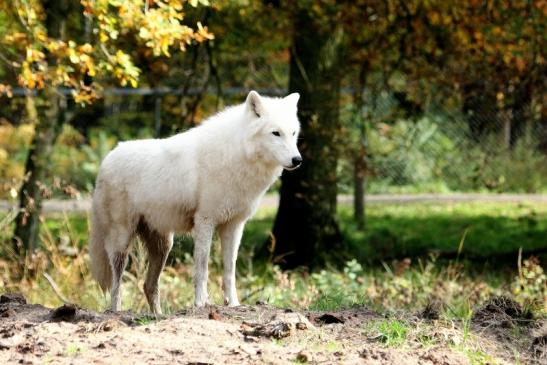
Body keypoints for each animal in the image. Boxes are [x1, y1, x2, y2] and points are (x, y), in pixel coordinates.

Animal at [91, 89, 304, 312]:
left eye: (293, 133)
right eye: (276, 133)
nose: (298, 160)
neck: (237, 155)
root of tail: (106, 159)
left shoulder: (234, 225)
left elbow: (230, 270)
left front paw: (233, 303)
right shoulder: (205, 221)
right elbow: (202, 267)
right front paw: (201, 302)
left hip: (164, 245)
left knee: (148, 285)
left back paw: (157, 315)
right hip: (122, 242)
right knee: (116, 284)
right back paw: (116, 310)